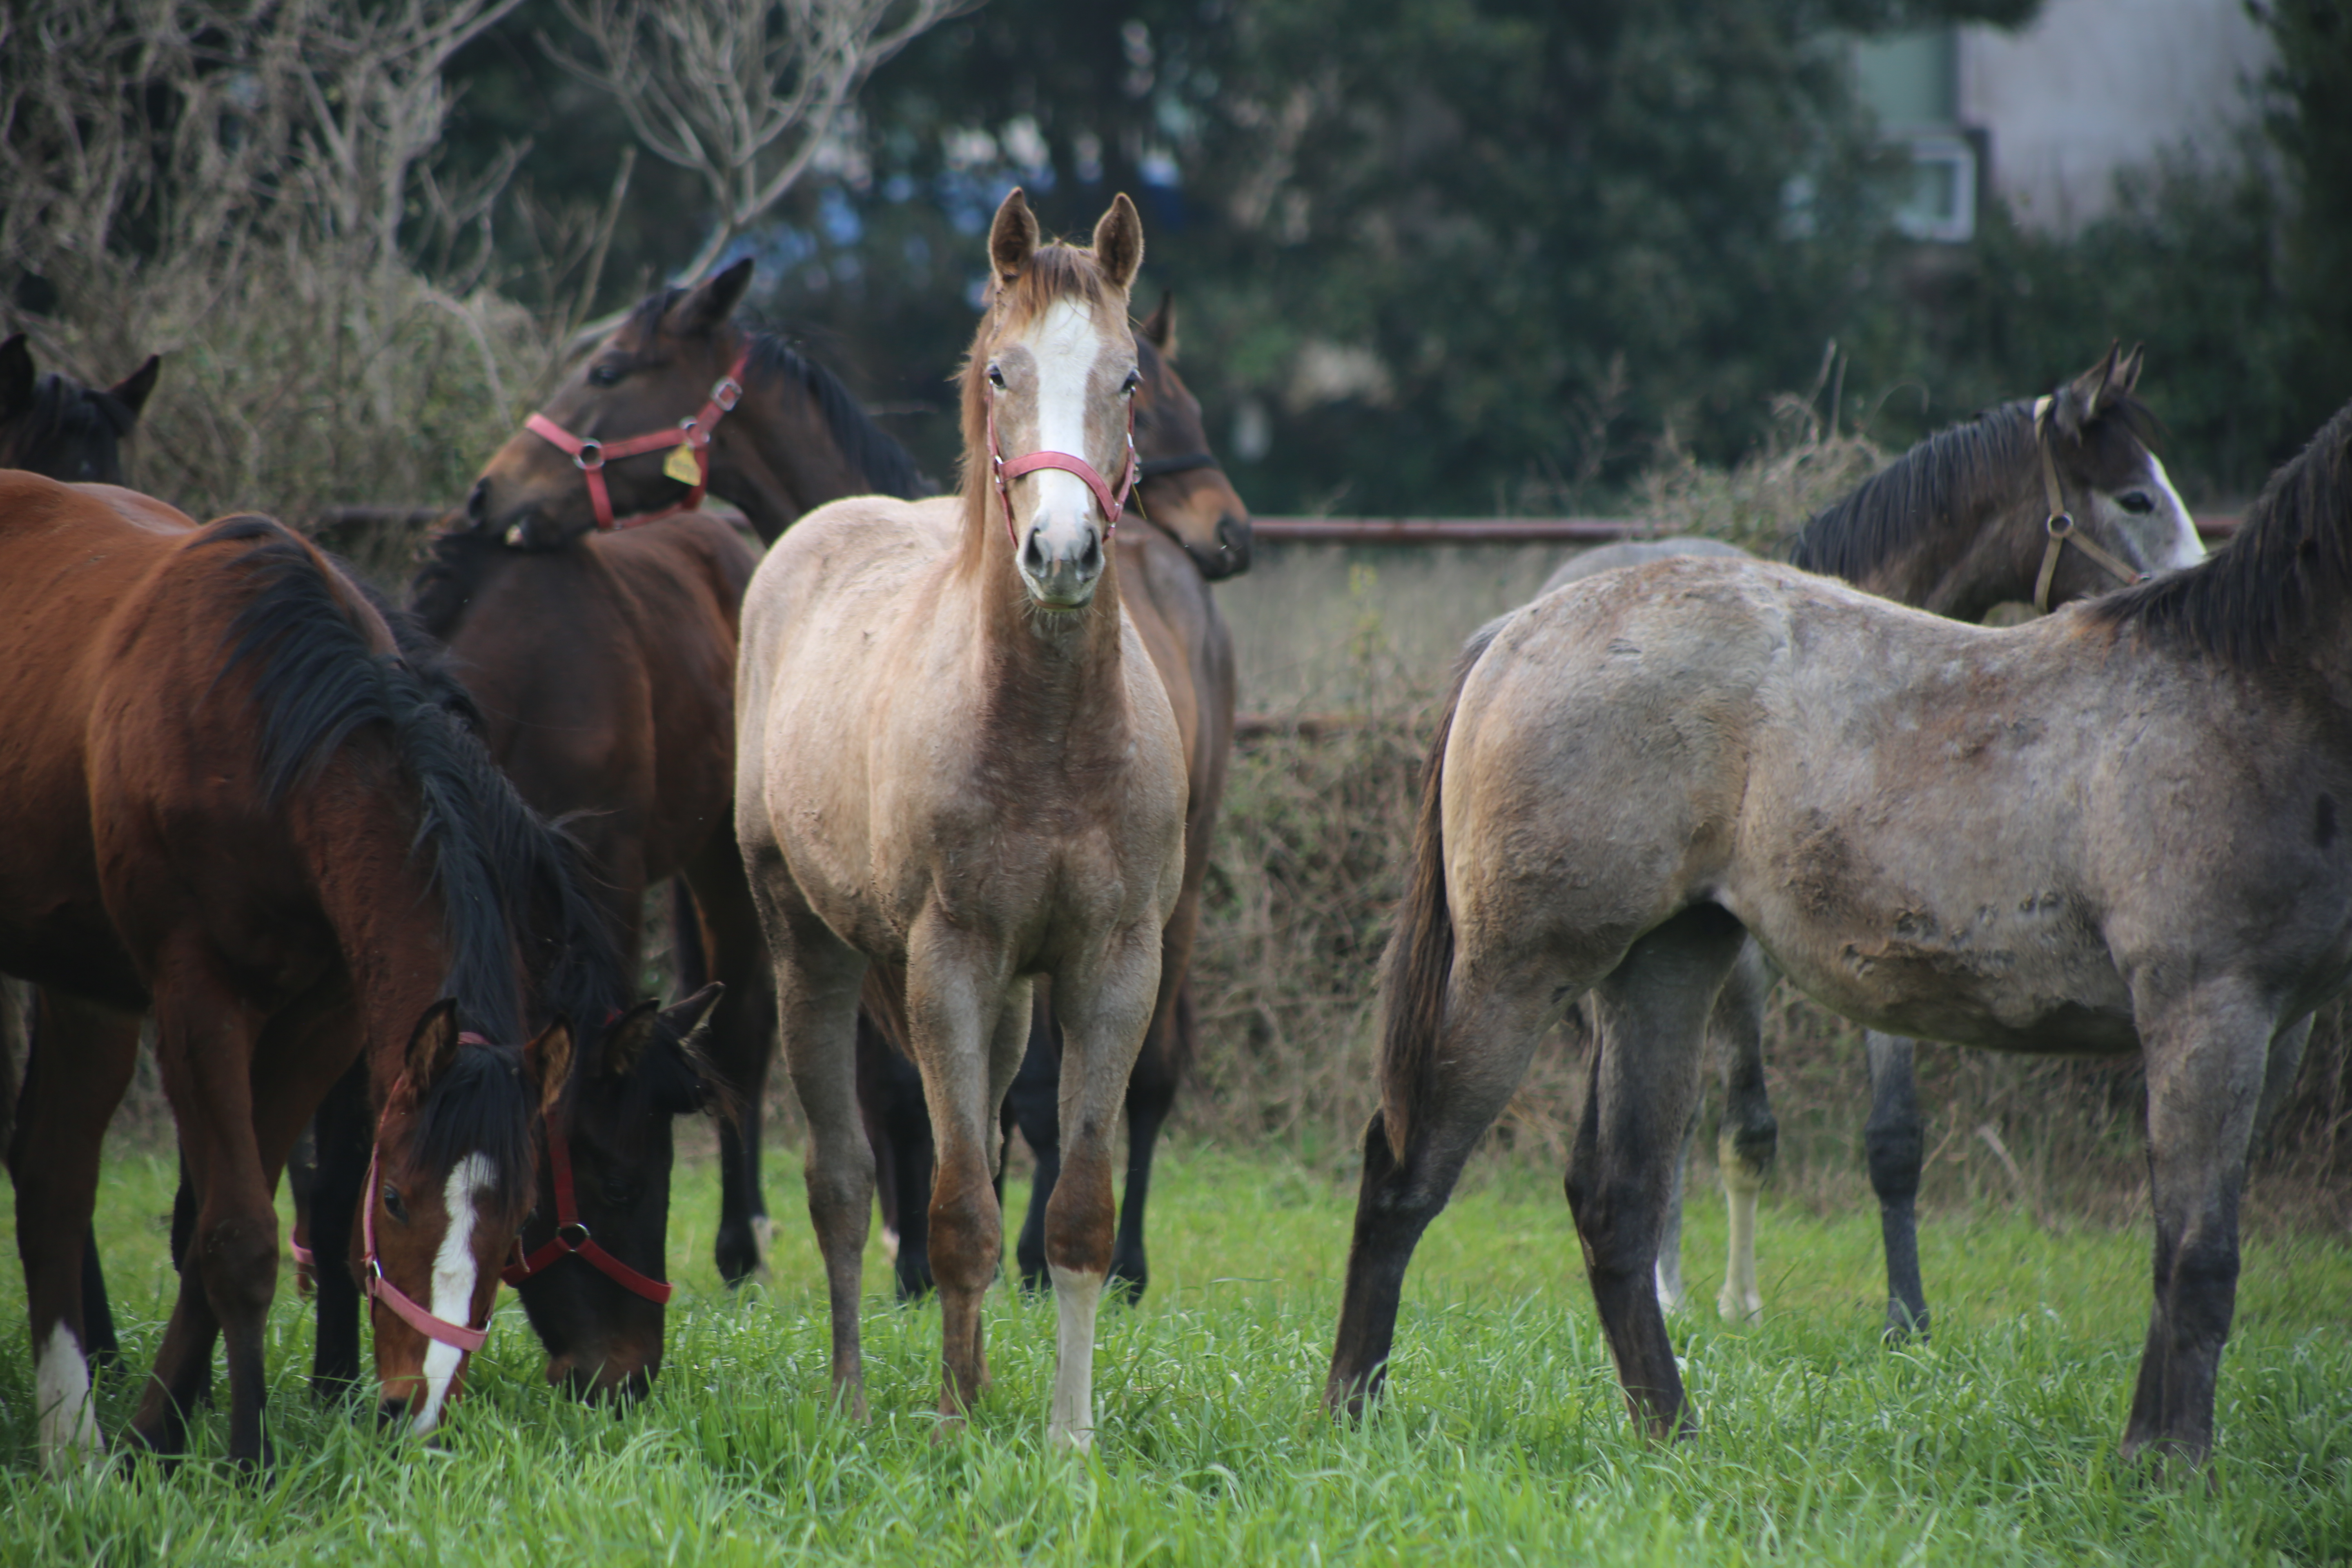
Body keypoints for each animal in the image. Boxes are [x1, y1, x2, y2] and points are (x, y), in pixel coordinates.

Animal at [0, 479, 626, 1476]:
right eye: (396, 1196)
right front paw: (245, 1454)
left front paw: (154, 1439)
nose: (417, 1407)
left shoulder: (322, 1022)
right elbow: (240, 1236)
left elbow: (211, 1231)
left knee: (54, 1176)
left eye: (519, 1213)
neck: (273, 749)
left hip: (85, 985)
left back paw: (72, 1441)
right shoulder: (197, 999)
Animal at [738, 193, 1195, 1448]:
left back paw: (974, 1380)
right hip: (808, 947)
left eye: (1128, 379)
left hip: (1002, 999)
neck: (1046, 733)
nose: (1063, 553)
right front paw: (947, 1425)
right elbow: (951, 1212)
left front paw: (1066, 1436)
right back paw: (855, 1397)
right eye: (1002, 370)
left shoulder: (1111, 965)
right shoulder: (943, 958)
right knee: (844, 1184)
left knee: (980, 1138)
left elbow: (1070, 1209)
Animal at [865, 294, 1261, 1297]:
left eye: (1138, 388)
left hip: (1180, 881)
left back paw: (1121, 1262)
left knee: (1149, 1073)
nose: (1234, 534)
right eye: (1164, 403)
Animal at [1326, 395, 2352, 1476]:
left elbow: (2178, 1243)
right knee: (1406, 1167)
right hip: (1518, 974)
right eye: (2132, 497)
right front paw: (2165, 1469)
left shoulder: (2272, 1032)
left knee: (1617, 1195)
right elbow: (2198, 1255)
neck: (2250, 685)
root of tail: (1518, 629)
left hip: (1663, 969)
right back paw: (1354, 1411)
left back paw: (1671, 1430)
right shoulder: (2208, 1012)